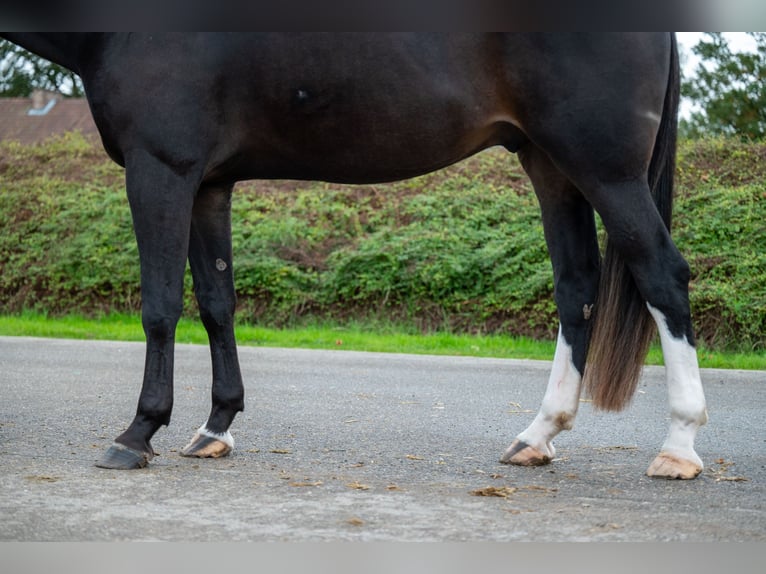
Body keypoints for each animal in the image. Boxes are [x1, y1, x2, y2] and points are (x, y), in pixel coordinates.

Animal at [0, 32, 708, 482]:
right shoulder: (209, 183)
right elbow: (217, 302)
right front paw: (216, 428)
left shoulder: (161, 168)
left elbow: (159, 306)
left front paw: (137, 434)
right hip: (550, 163)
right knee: (578, 288)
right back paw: (537, 437)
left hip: (604, 169)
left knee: (662, 275)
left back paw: (678, 446)